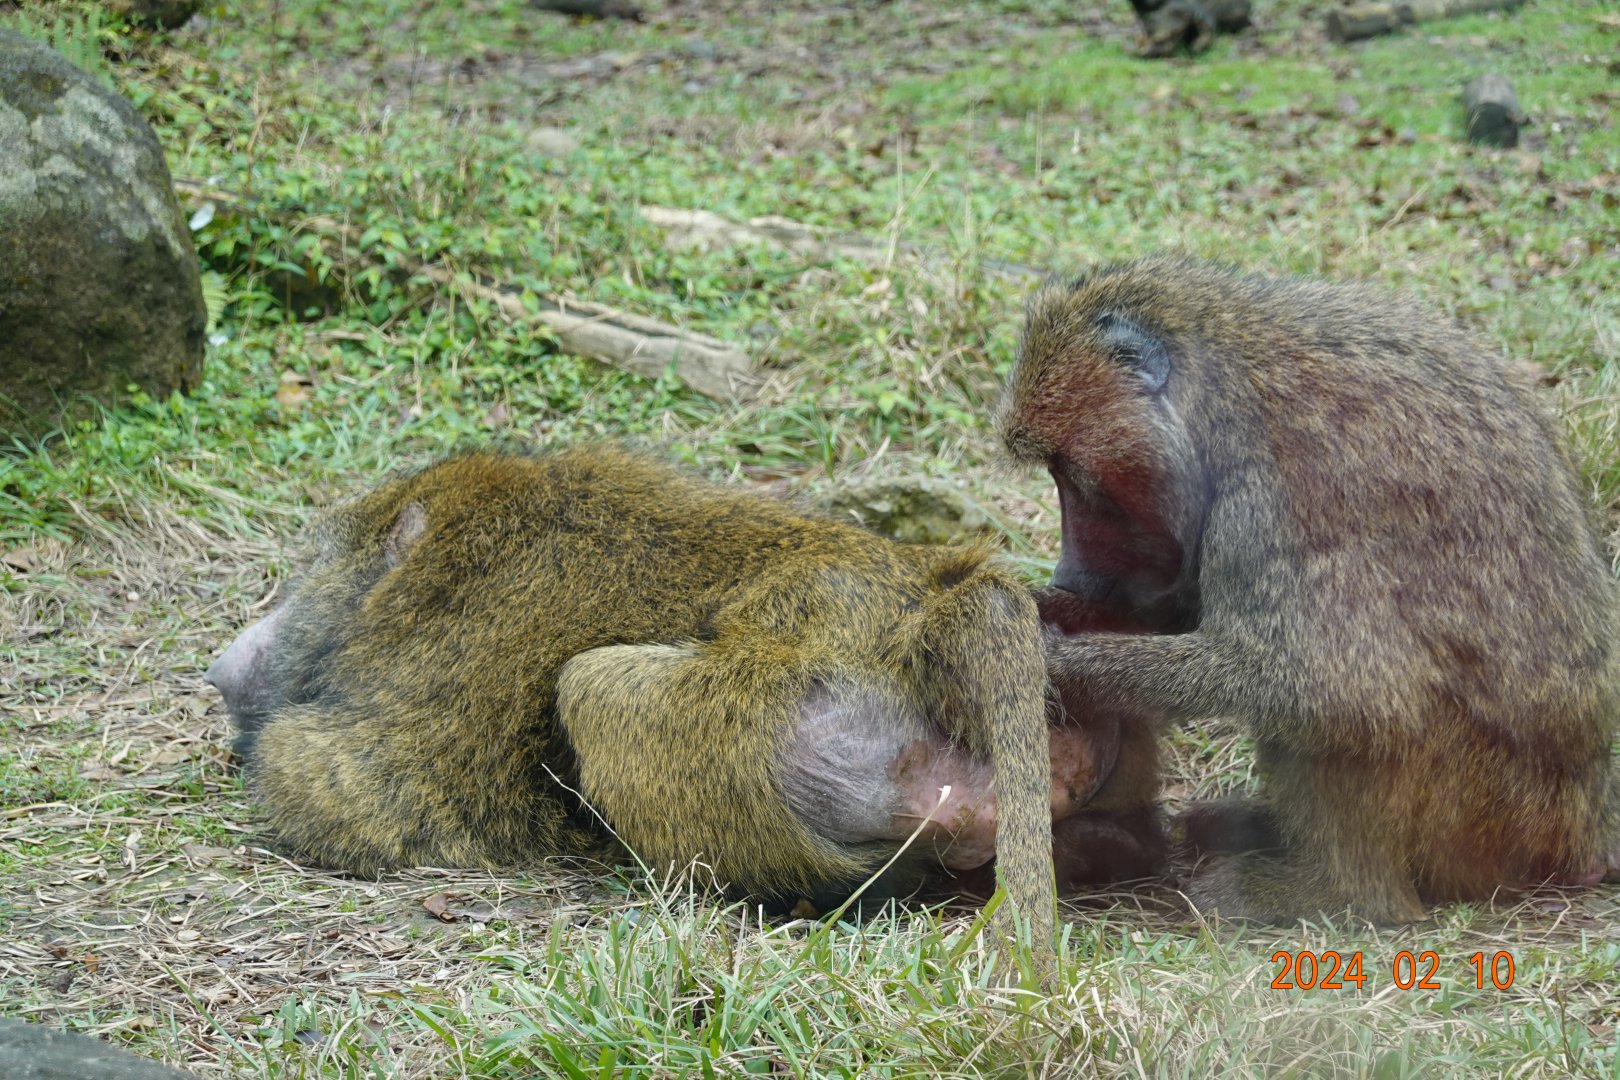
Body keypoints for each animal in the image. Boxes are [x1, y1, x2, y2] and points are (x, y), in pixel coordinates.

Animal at [205, 445, 1154, 945]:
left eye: (304, 578)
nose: (221, 667)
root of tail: (923, 603)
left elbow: (344, 793)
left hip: (753, 711)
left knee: (589, 688)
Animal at [997, 255, 1620, 924]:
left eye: (1071, 476)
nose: (1067, 573)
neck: (1225, 398)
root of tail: (1587, 822)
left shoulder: (1271, 502)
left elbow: (1335, 687)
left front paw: (1062, 663)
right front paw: (1048, 609)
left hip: (1482, 811)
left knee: (1353, 718)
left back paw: (1334, 892)